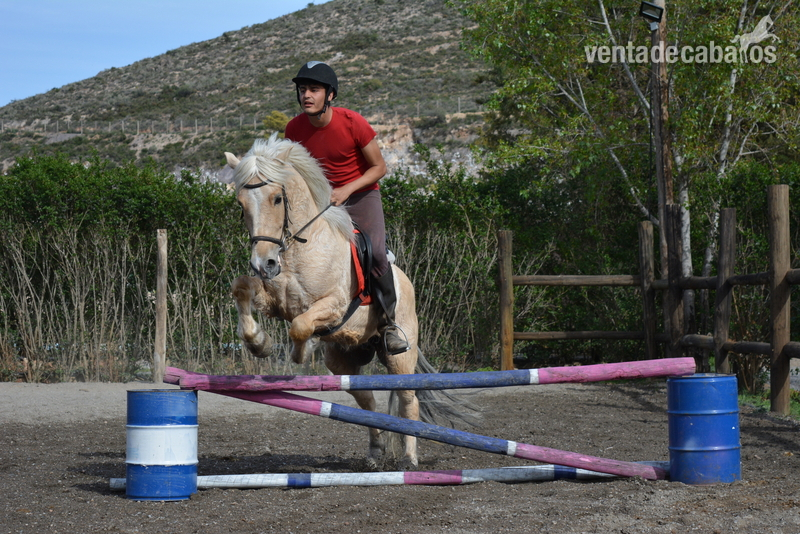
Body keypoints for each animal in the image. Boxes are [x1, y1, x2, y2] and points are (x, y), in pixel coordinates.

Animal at [225, 135, 477, 470]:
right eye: (240, 204)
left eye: (277, 199)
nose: (262, 263)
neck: (299, 248)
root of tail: (406, 280)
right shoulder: (273, 298)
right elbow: (242, 288)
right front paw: (259, 343)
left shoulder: (335, 305)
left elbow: (300, 325)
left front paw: (300, 351)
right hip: (344, 358)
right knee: (367, 400)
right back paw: (375, 453)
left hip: (400, 356)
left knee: (408, 399)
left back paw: (409, 459)